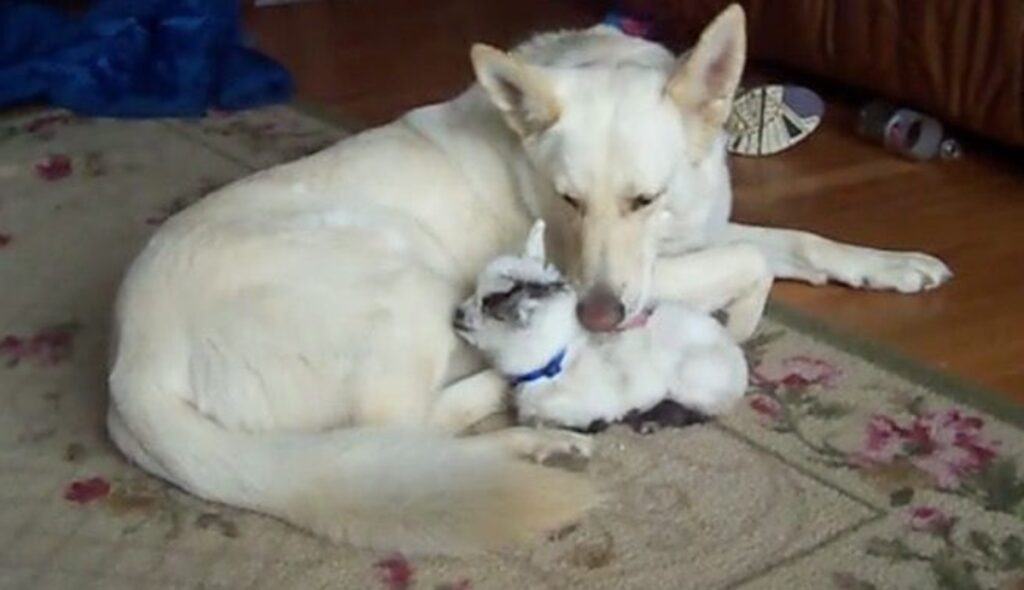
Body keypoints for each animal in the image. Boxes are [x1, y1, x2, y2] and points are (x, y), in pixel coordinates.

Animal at [454, 221, 745, 428]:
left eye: (487, 307)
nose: (456, 313)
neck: (555, 363)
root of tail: (740, 368)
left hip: (693, 377)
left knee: (703, 412)